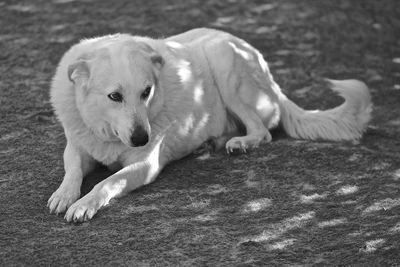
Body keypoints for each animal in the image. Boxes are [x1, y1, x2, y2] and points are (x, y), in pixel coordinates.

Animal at [47, 28, 372, 223]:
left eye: (146, 92)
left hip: (223, 62)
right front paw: (65, 194)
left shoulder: (146, 165)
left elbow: (107, 182)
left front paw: (84, 203)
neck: (106, 132)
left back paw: (240, 142)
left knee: (263, 131)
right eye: (114, 96)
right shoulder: (77, 146)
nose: (142, 139)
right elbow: (73, 170)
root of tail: (273, 82)